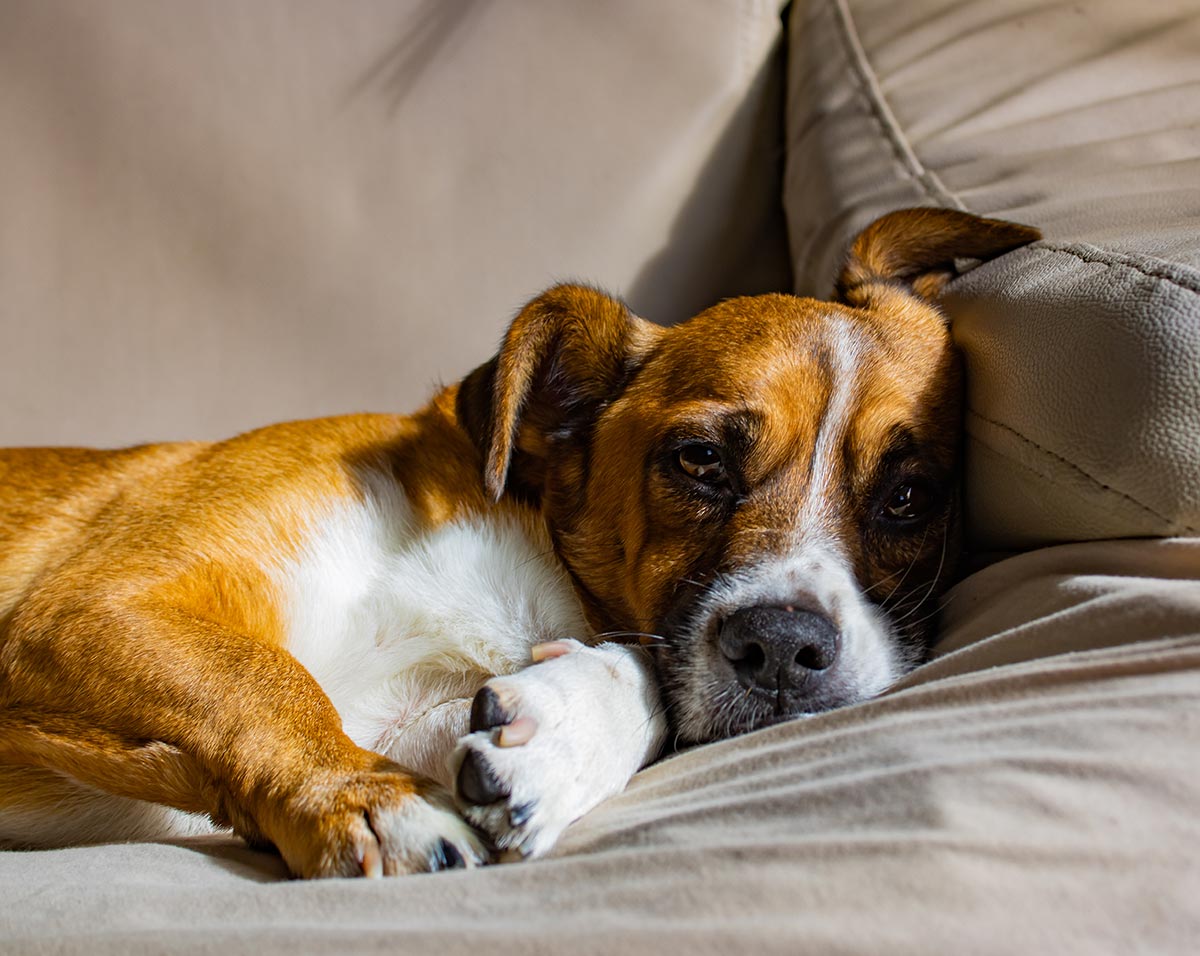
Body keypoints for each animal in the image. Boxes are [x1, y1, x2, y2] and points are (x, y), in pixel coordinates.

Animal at [0, 211, 1036, 878]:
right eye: (699, 459)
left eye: (909, 497)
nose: (784, 650)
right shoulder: (89, 608)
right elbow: (262, 676)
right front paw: (360, 798)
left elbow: (638, 673)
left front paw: (563, 737)